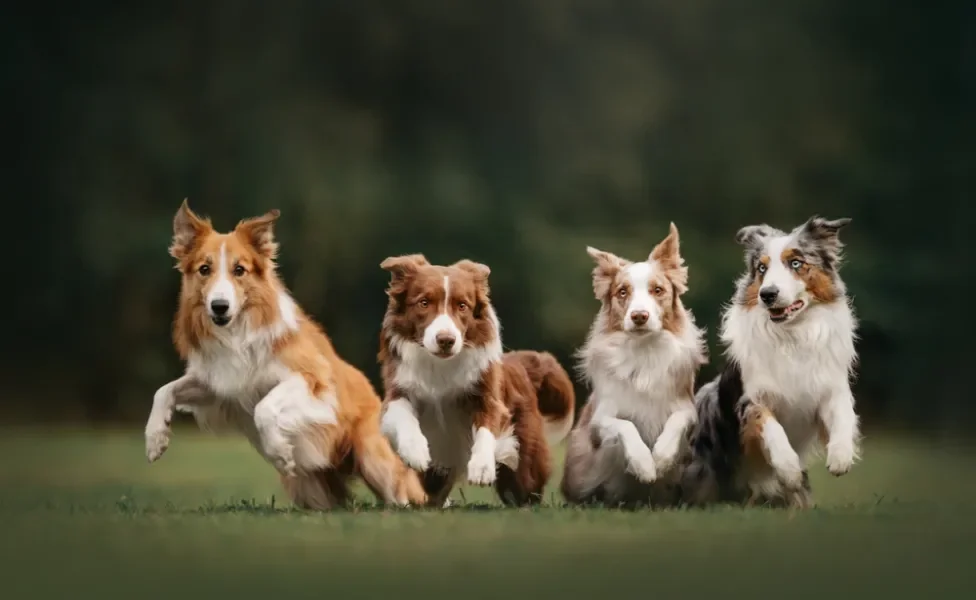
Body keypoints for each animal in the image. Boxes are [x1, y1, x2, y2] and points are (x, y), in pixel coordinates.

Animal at [143, 203, 426, 510]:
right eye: (204, 269)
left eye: (239, 270)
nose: (219, 306)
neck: (238, 333)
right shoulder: (217, 384)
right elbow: (164, 391)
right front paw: (155, 438)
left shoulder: (310, 378)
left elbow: (264, 407)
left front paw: (279, 451)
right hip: (306, 486)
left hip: (373, 457)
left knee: (403, 495)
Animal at [374, 253, 572, 506]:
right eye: (424, 303)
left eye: (462, 306)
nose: (446, 340)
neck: (441, 365)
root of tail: (518, 362)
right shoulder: (399, 389)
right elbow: (403, 417)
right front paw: (415, 451)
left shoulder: (487, 396)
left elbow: (486, 429)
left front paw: (482, 467)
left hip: (524, 459)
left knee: (524, 488)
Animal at [556, 224, 708, 506]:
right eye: (622, 292)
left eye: (657, 290)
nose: (639, 316)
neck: (644, 350)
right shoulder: (599, 421)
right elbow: (625, 426)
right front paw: (644, 464)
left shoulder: (687, 408)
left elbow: (678, 419)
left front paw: (661, 456)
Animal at [684, 216, 856, 506]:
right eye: (762, 268)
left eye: (796, 263)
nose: (767, 294)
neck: (792, 335)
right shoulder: (751, 398)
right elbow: (772, 428)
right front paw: (789, 470)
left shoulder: (828, 388)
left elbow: (844, 414)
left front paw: (841, 457)